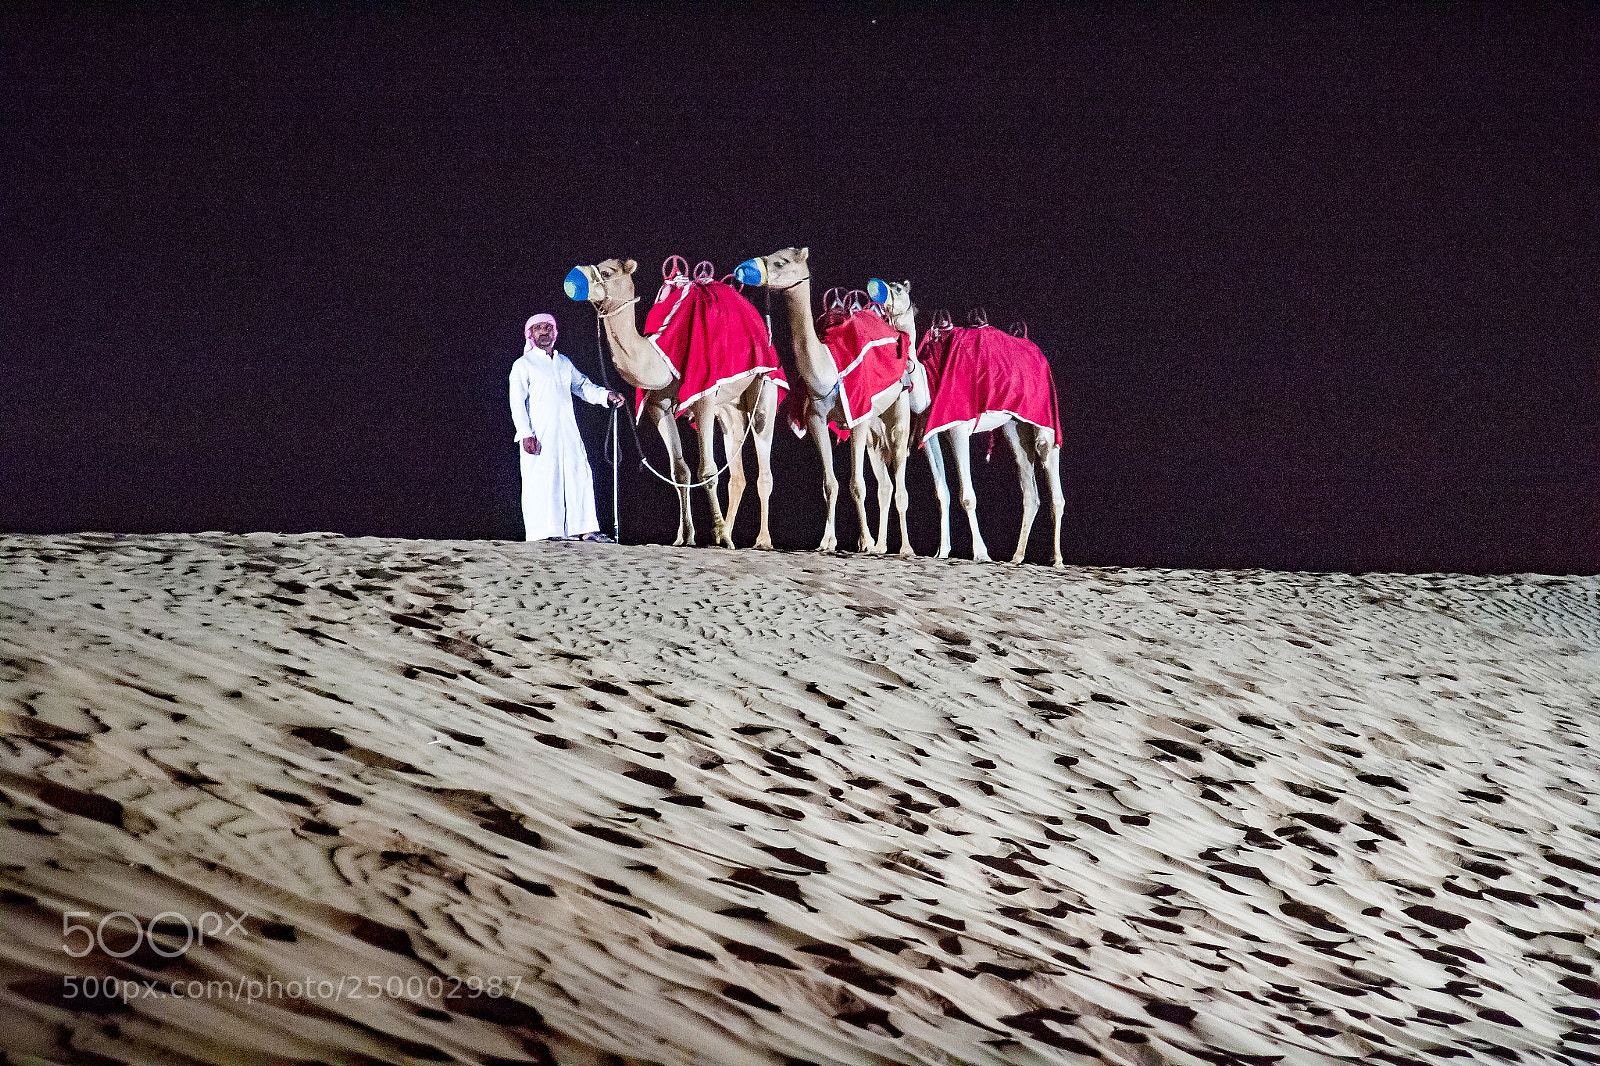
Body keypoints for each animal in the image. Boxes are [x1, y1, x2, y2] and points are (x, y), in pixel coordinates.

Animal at [565, 257, 781, 550]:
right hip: (729, 407)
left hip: (764, 383)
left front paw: (719, 534)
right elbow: (680, 472)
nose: (571, 277)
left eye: (607, 272)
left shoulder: (703, 397)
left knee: (763, 455)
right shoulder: (658, 407)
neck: (659, 356)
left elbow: (707, 471)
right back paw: (729, 530)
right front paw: (685, 536)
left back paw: (761, 540)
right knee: (737, 470)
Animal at [734, 248, 914, 556]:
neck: (828, 368)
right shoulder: (817, 420)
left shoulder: (858, 417)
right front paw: (828, 541)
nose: (743, 269)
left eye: (781, 261)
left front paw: (864, 542)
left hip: (897, 410)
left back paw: (904, 548)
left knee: (899, 474)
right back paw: (881, 545)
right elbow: (830, 484)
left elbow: (857, 485)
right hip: (874, 427)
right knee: (885, 484)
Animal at [906, 309, 1066, 567]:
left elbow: (967, 497)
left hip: (1044, 420)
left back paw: (1058, 559)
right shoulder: (929, 433)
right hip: (1013, 426)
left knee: (1049, 465)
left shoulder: (959, 427)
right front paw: (942, 551)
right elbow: (942, 492)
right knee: (1029, 489)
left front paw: (981, 553)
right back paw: (1017, 556)